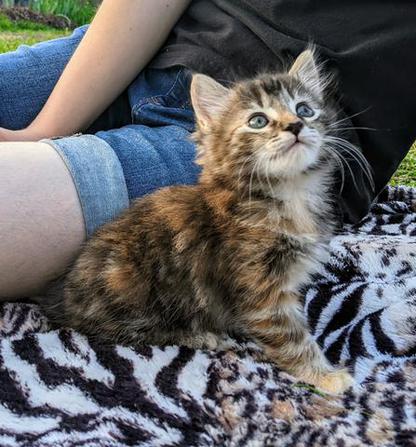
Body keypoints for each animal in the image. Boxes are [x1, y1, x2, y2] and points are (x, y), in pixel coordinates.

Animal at [43, 48, 360, 392]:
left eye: (304, 109)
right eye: (258, 121)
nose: (296, 125)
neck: (289, 194)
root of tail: (64, 296)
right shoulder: (260, 290)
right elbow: (291, 336)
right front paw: (326, 376)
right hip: (131, 288)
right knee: (118, 330)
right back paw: (200, 335)